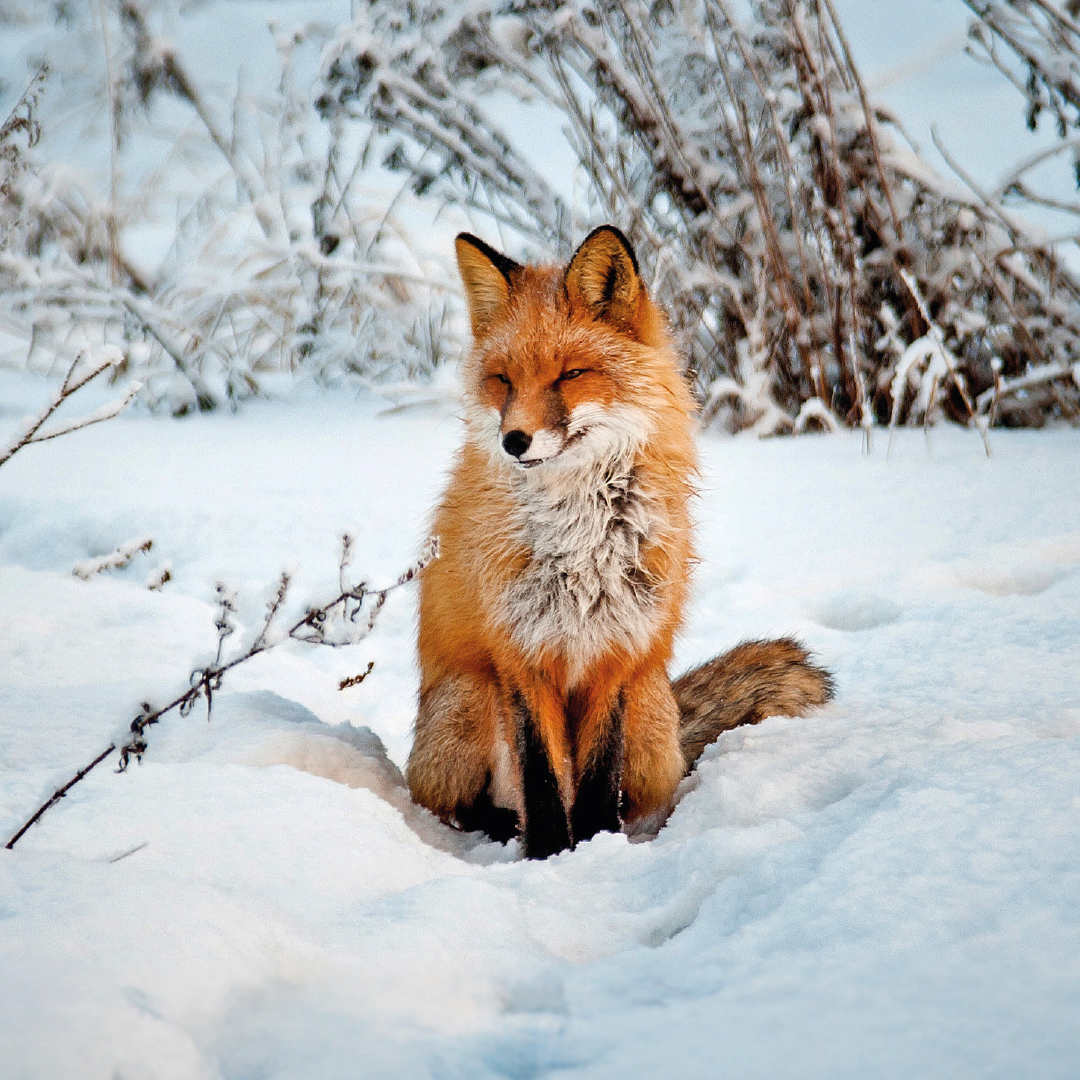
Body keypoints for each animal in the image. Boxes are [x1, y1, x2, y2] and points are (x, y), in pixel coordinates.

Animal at [406, 225, 833, 859]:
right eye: (503, 380)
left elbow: (596, 781)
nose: (514, 440)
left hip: (649, 713)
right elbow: (542, 779)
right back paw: (503, 828)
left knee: (647, 792)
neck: (579, 535)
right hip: (471, 694)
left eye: (569, 374)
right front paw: (549, 856)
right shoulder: (520, 656)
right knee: (457, 804)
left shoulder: (616, 652)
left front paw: (595, 847)